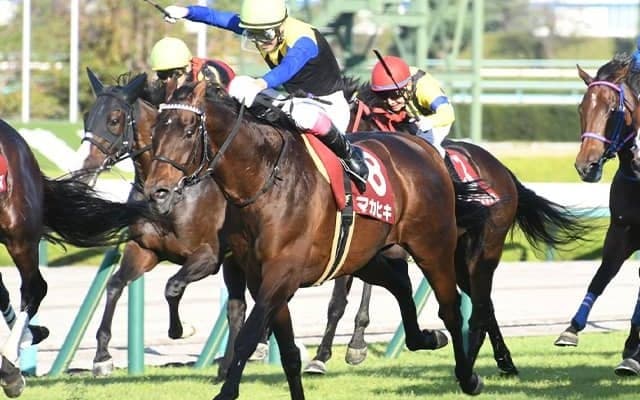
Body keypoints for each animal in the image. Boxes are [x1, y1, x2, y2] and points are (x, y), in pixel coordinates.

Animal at [143, 80, 499, 399]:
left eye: (189, 131)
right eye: (156, 132)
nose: (156, 192)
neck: (265, 180)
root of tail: (425, 149)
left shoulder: (282, 272)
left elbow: (249, 335)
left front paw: (226, 390)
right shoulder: (261, 277)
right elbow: (288, 353)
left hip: (432, 246)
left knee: (450, 309)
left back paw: (468, 377)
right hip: (365, 257)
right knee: (400, 283)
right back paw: (424, 338)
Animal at [304, 79, 592, 376]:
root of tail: (502, 170)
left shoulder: (385, 244)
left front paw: (354, 346)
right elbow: (339, 299)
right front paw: (321, 356)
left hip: (481, 247)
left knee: (481, 302)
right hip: (457, 255)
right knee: (484, 302)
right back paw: (503, 360)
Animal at [551, 55, 640, 376]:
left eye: (613, 109)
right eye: (581, 108)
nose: (585, 165)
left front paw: (633, 353)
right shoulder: (621, 230)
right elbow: (601, 276)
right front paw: (571, 330)